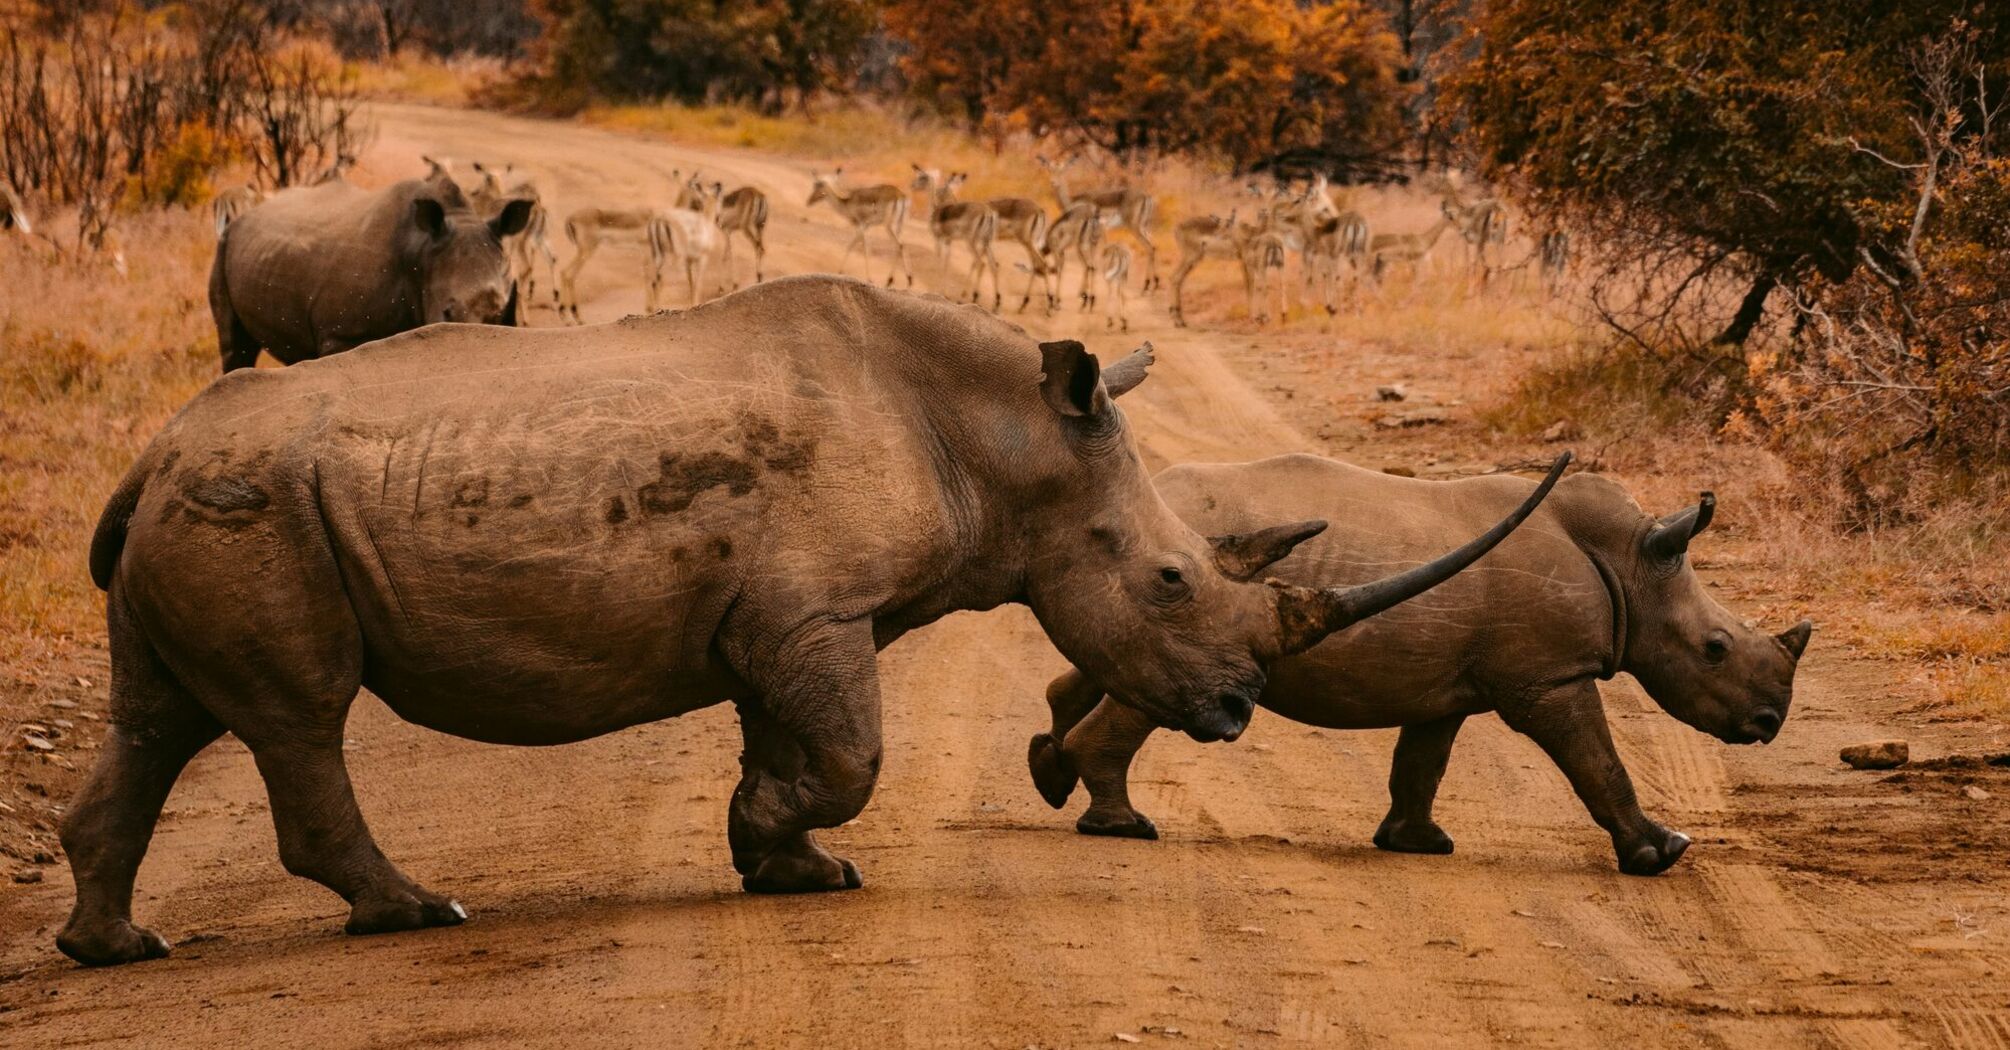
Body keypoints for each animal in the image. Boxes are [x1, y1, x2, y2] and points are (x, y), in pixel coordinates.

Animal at [58, 277, 1551, 965]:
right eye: (1173, 580)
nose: (1236, 713)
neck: (1007, 441)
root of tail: (148, 454)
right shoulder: (814, 609)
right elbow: (851, 755)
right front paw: (782, 846)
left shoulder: (789, 616)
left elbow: (790, 740)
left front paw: (787, 868)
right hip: (255, 506)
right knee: (298, 715)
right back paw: (418, 914)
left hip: (206, 501)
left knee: (159, 719)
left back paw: (116, 947)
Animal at [210, 172, 534, 368]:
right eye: (447, 312)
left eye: (501, 314)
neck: (421, 252)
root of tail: (247, 212)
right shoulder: (341, 335)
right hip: (225, 245)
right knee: (235, 347)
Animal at [1029, 452, 1817, 868]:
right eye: (1714, 649)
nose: (1769, 722)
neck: (1631, 565)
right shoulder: (1548, 679)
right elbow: (1599, 762)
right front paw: (1663, 853)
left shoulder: (1448, 684)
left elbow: (1423, 763)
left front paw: (1418, 845)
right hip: (1184, 588)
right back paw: (1123, 826)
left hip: (1157, 580)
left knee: (1107, 665)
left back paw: (1053, 773)